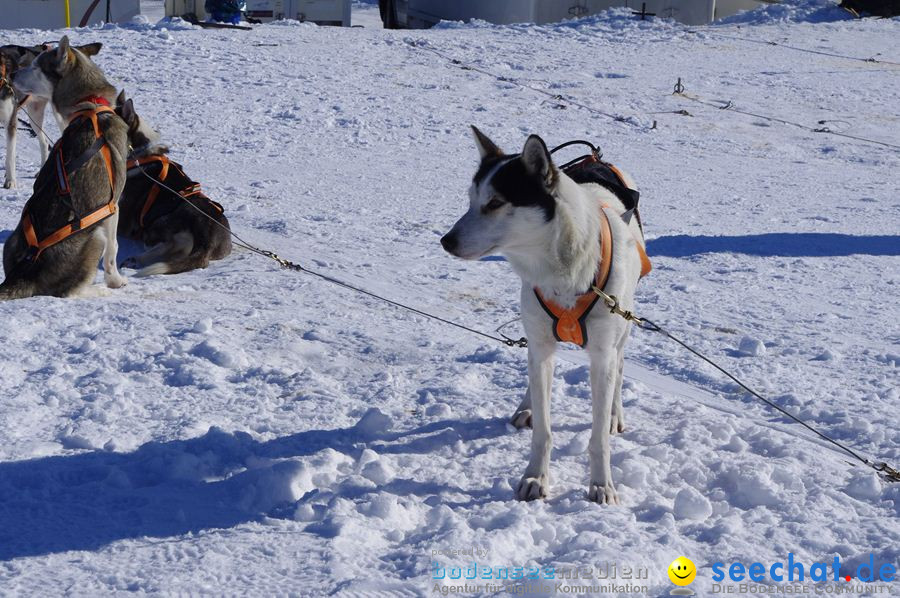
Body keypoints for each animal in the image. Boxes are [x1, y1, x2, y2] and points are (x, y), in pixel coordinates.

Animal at [0, 37, 128, 300]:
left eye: (36, 66)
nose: (13, 73)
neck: (91, 106)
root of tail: (25, 271)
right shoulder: (112, 206)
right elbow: (113, 251)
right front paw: (116, 281)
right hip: (96, 236)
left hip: (11, 242)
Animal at [442, 127, 648, 506]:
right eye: (471, 200)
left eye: (495, 202)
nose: (445, 241)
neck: (563, 271)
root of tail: (595, 159)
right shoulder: (541, 344)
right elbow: (544, 428)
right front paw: (535, 477)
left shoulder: (601, 355)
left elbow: (598, 436)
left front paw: (601, 484)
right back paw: (527, 407)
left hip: (623, 326)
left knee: (620, 364)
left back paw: (615, 412)